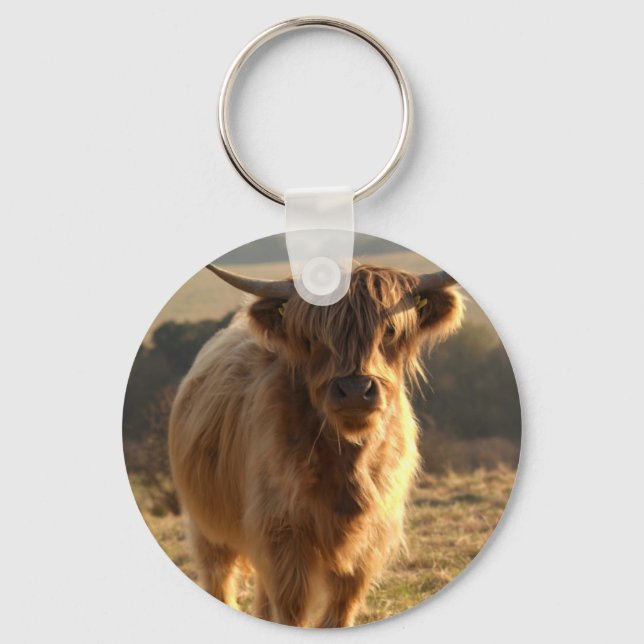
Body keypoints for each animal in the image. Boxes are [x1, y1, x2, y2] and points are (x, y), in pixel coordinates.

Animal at [168, 263, 464, 627]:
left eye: (390, 330)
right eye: (314, 337)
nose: (355, 391)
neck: (347, 459)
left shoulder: (367, 542)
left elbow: (339, 609)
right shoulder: (282, 531)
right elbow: (291, 607)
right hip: (207, 526)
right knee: (219, 577)